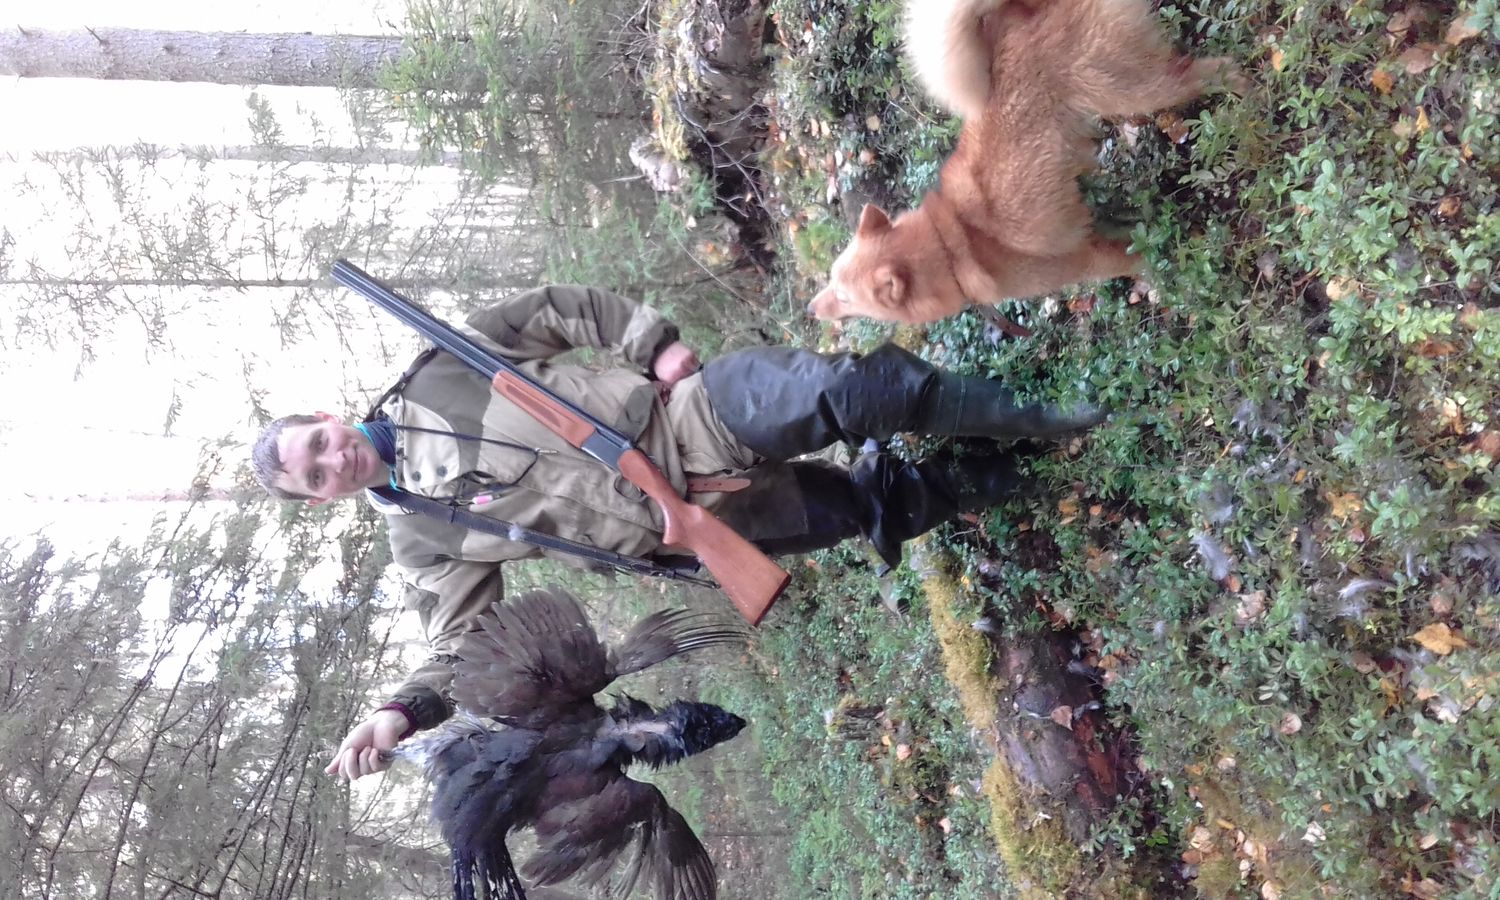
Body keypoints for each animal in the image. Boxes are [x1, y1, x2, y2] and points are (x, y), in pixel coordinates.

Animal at [807, 0, 1241, 325]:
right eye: (831, 281)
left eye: (843, 297)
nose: (811, 309)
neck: (952, 248)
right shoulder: (1089, 225)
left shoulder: (1086, 261)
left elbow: (1139, 262)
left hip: (1135, 89)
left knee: (1215, 72)